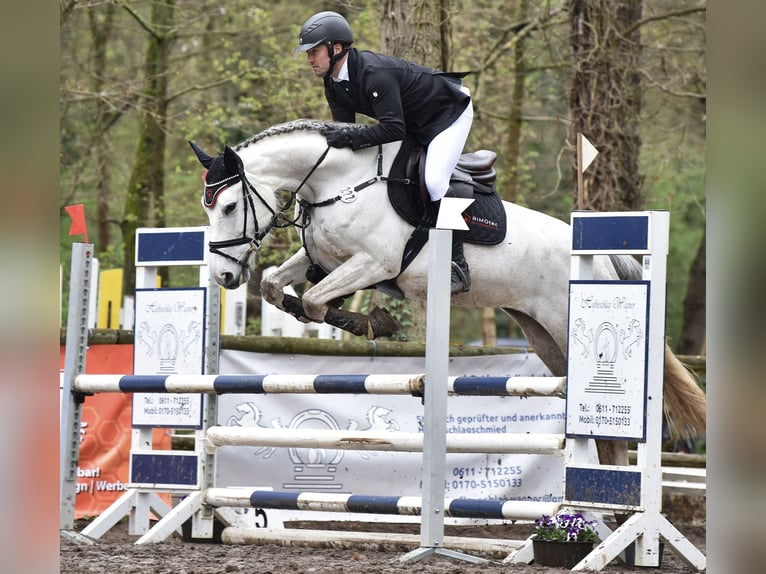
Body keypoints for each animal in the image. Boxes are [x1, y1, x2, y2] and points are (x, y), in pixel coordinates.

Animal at [190, 121, 708, 468]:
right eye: (207, 208)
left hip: (564, 324)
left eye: (229, 206)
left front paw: (375, 322)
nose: (224, 277)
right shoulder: (326, 260)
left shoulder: (373, 263)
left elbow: (316, 301)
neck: (337, 184)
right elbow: (278, 286)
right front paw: (348, 315)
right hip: (542, 335)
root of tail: (599, 258)